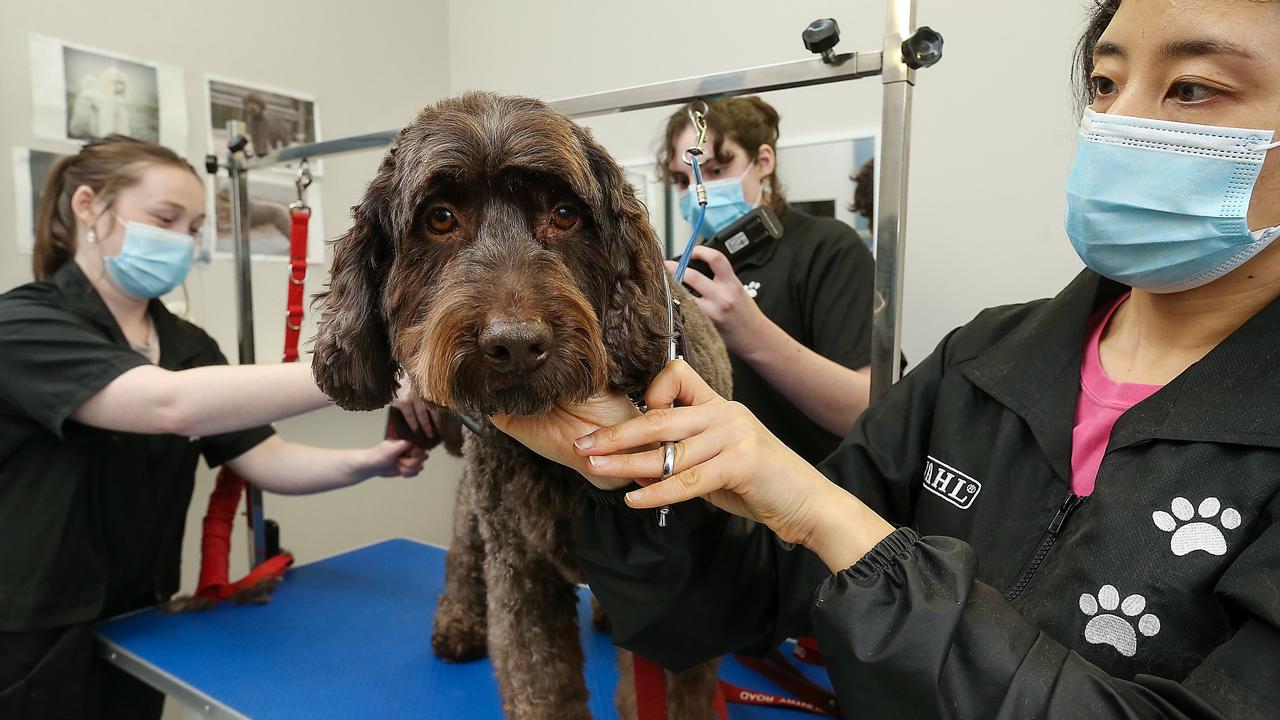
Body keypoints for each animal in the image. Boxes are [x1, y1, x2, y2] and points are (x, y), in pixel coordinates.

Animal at [309, 92, 732, 712]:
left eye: (564, 214)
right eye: (440, 218)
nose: (513, 343)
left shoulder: (678, 599)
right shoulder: (520, 571)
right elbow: (540, 682)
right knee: (463, 552)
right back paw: (459, 622)